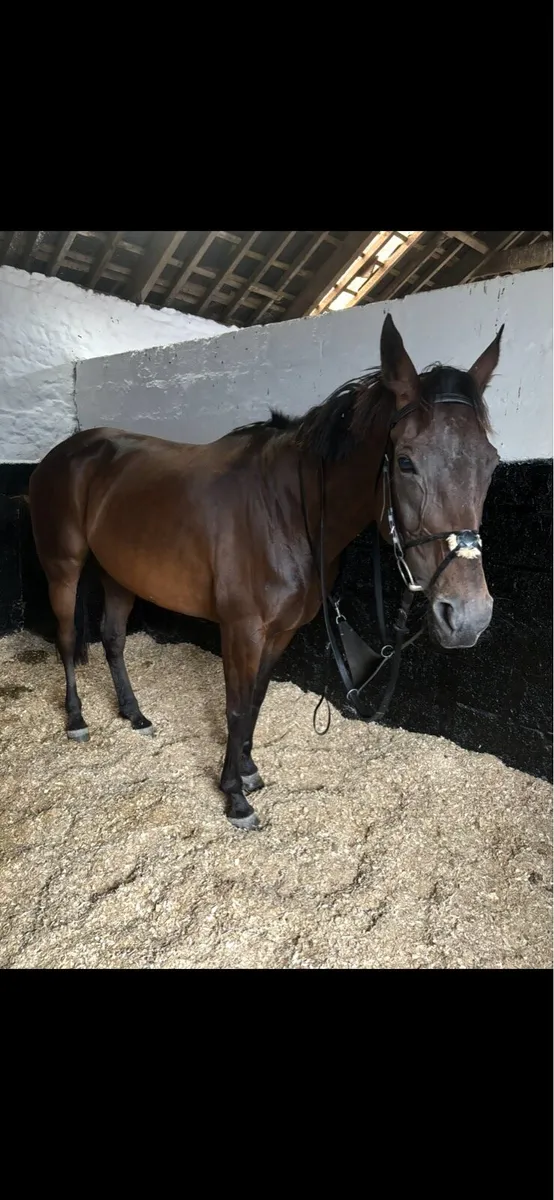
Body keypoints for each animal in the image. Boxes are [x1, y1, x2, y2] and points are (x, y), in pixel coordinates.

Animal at [29, 314, 503, 830]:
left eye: (491, 463)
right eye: (405, 461)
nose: (468, 617)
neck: (287, 511)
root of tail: (62, 454)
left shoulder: (282, 631)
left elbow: (256, 699)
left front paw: (249, 769)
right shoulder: (242, 630)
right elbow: (236, 708)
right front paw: (235, 797)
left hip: (120, 575)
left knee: (113, 640)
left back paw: (134, 715)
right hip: (63, 567)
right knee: (67, 639)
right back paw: (76, 721)